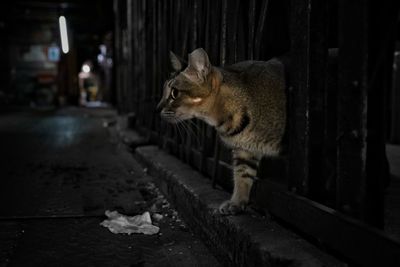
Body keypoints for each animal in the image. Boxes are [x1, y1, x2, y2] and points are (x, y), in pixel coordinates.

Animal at [157, 48, 288, 216]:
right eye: (163, 90)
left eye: (174, 93)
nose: (157, 108)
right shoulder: (244, 151)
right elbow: (242, 176)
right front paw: (237, 202)